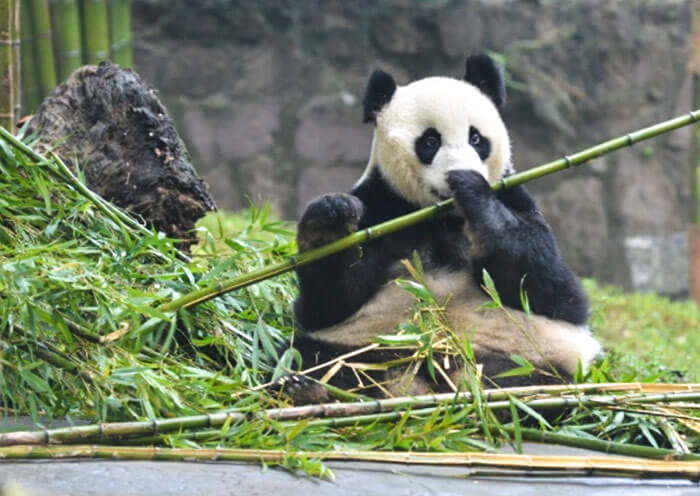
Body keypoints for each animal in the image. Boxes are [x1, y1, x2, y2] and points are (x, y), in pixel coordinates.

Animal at [284, 54, 602, 403]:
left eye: (476, 138)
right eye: (430, 140)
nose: (456, 173)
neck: (444, 217)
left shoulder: (514, 198)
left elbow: (551, 290)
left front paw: (472, 189)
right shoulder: (380, 208)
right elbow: (331, 303)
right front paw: (328, 221)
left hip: (527, 357)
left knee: (534, 383)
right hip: (365, 346)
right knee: (311, 357)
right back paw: (311, 389)